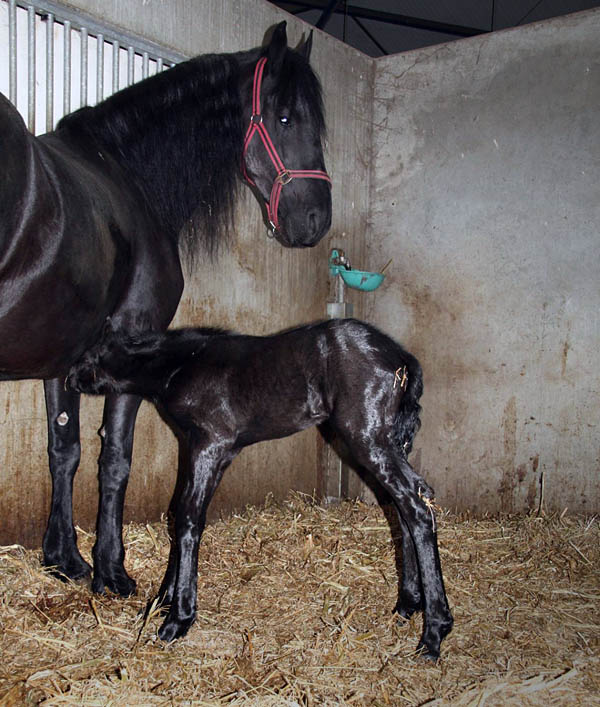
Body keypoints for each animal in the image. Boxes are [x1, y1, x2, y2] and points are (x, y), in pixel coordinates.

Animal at [68, 318, 452, 660]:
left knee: (415, 504)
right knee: (406, 504)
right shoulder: (204, 449)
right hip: (392, 441)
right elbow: (179, 512)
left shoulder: (211, 443)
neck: (180, 364)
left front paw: (177, 619)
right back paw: (407, 605)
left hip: (368, 439)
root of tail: (403, 359)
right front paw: (162, 602)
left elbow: (190, 518)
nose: (70, 379)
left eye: (89, 354)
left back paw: (434, 634)